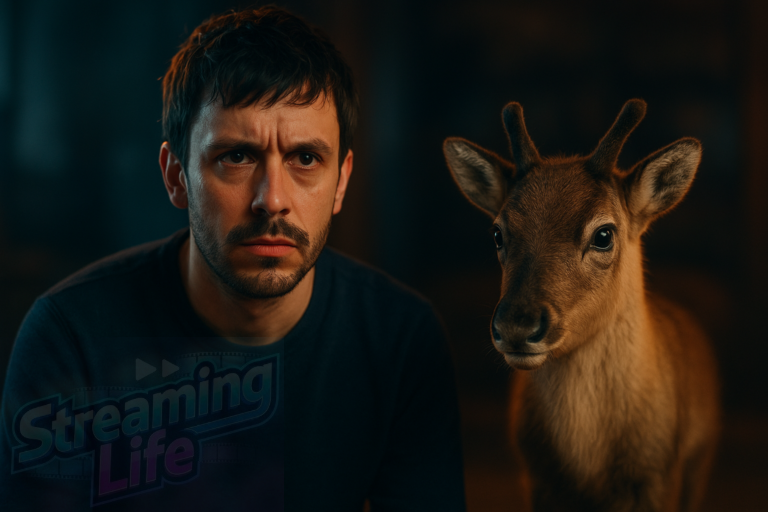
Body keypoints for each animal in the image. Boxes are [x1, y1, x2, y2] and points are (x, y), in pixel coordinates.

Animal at [443, 99, 720, 512]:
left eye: (604, 234)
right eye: (497, 232)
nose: (517, 326)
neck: (590, 473)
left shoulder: (661, 481)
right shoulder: (537, 483)